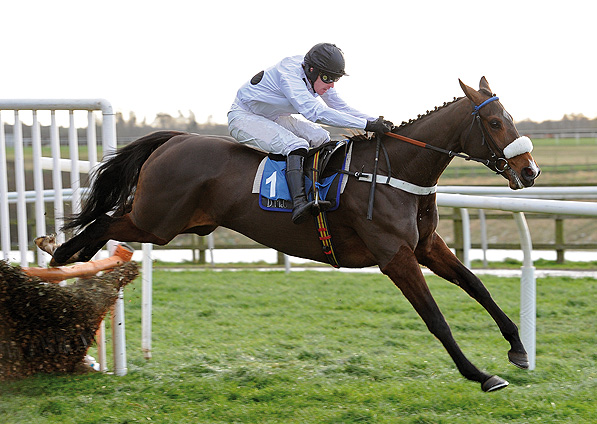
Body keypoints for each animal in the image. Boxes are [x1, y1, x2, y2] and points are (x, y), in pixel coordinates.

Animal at [36, 77, 540, 390]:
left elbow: (477, 286)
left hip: (168, 220)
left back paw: (65, 258)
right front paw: (481, 375)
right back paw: (59, 255)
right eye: (495, 122)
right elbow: (436, 318)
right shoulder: (395, 257)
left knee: (106, 221)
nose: (529, 171)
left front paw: (517, 348)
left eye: (512, 117)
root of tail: (175, 138)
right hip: (156, 222)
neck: (394, 172)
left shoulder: (426, 247)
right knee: (103, 222)